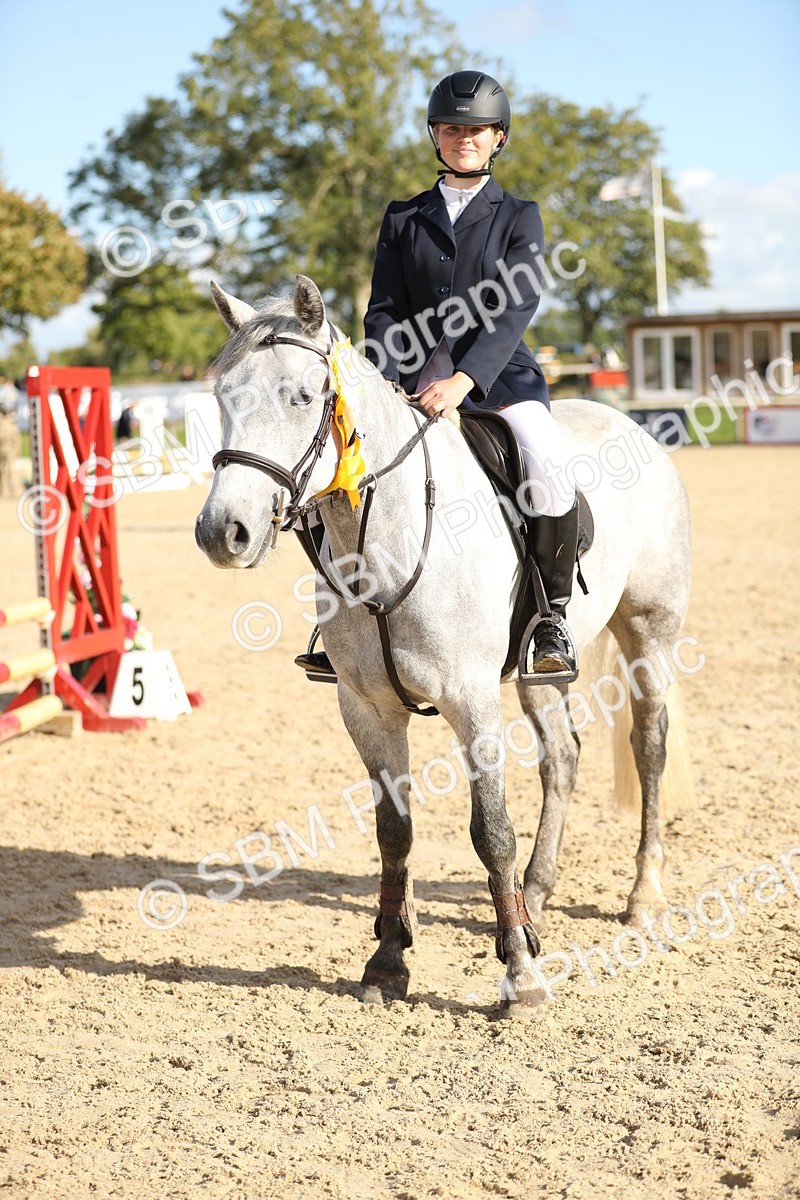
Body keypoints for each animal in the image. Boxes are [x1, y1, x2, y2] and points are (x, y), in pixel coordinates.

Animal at [195, 275, 692, 1017]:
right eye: (223, 396)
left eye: (302, 397)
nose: (222, 532)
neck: (387, 537)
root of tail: (635, 427)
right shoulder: (367, 708)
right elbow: (393, 831)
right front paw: (387, 963)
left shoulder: (470, 698)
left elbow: (490, 831)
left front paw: (522, 977)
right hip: (536, 672)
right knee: (562, 758)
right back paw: (534, 896)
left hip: (647, 633)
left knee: (649, 746)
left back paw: (642, 896)